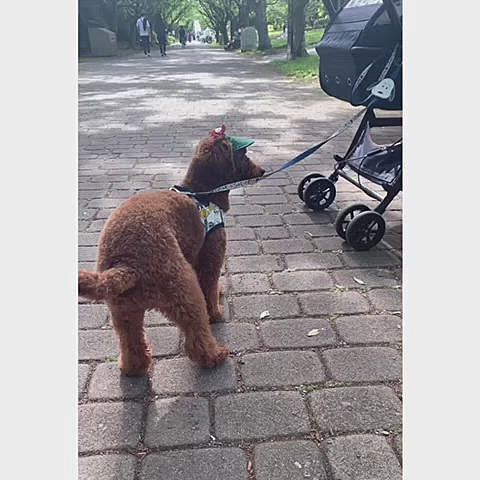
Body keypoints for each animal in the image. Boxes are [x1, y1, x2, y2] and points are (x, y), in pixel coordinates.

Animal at [79, 130, 266, 376]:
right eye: (243, 155)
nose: (262, 171)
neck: (201, 192)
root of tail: (127, 265)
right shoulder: (210, 256)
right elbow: (210, 289)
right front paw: (216, 313)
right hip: (183, 288)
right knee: (196, 335)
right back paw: (215, 356)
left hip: (123, 310)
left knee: (131, 343)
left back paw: (133, 367)